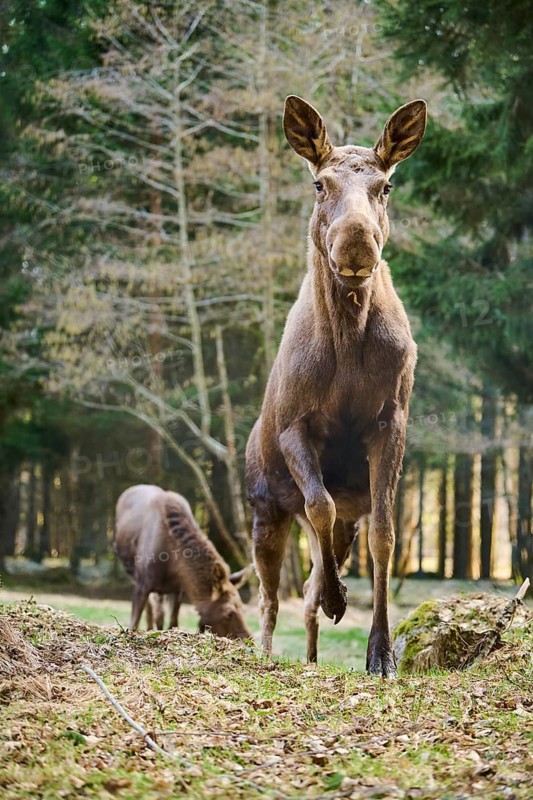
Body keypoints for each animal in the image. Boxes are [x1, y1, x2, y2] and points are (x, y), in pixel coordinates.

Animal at [114, 484, 252, 639]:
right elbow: (134, 622)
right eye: (229, 613)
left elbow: (173, 623)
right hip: (132, 573)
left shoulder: (177, 589)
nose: (249, 639)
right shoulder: (142, 583)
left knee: (159, 612)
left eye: (243, 608)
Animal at [245, 95, 426, 677]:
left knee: (304, 584)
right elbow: (319, 504)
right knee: (269, 595)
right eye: (319, 184)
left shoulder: (391, 422)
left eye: (385, 186)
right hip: (265, 508)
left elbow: (386, 536)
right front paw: (336, 597)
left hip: (338, 519)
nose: (356, 242)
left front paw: (381, 652)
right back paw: (270, 648)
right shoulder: (295, 428)